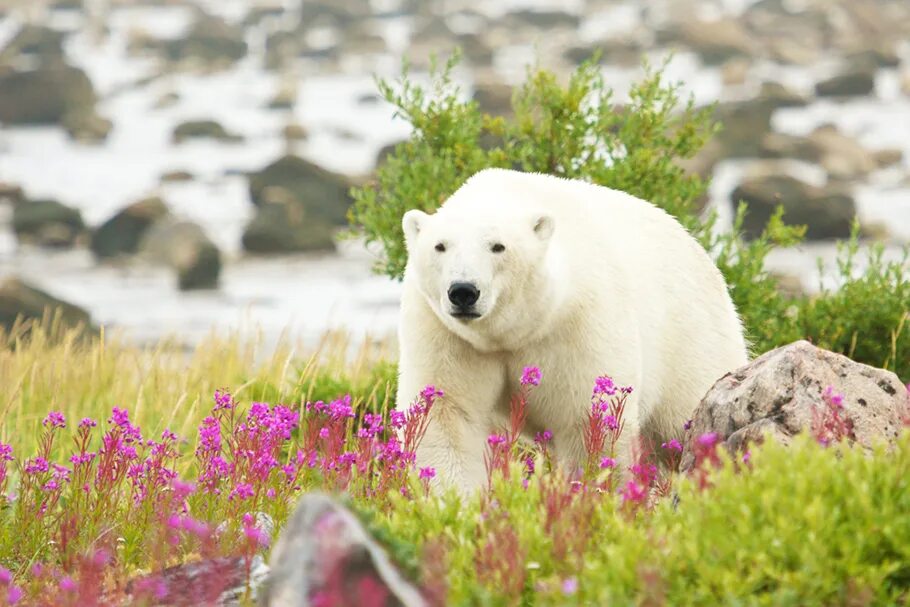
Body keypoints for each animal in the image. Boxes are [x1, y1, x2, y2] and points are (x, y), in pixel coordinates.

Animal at [398, 169, 748, 492]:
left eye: (498, 246)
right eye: (440, 246)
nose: (463, 291)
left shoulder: (579, 322)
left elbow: (588, 419)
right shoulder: (447, 333)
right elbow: (447, 412)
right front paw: (455, 501)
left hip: (690, 338)